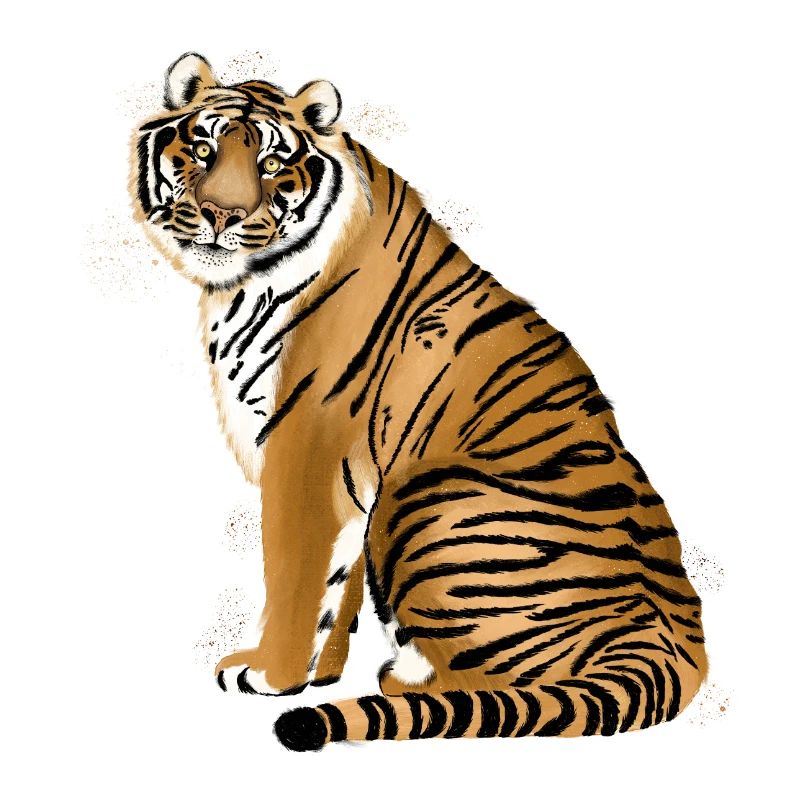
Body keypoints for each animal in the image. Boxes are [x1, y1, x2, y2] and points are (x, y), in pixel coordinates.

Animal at [131, 52, 708, 751]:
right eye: (203, 148)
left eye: (270, 163)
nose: (220, 214)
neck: (240, 286)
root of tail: (671, 635)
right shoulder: (347, 478)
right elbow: (335, 581)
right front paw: (321, 673)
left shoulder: (305, 444)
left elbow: (293, 570)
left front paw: (271, 676)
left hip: (423, 490)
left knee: (502, 694)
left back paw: (402, 678)